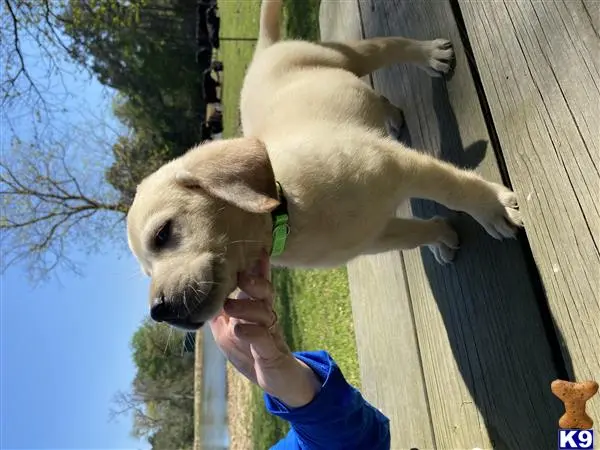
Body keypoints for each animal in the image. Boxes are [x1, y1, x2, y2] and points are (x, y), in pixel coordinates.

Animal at [126, 0, 520, 330]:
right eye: (145, 270)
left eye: (162, 234)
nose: (159, 311)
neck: (288, 212)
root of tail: (264, 52)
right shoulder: (376, 234)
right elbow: (415, 234)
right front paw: (440, 236)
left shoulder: (401, 165)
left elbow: (457, 189)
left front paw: (492, 209)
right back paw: (390, 114)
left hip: (347, 56)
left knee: (390, 46)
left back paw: (430, 54)